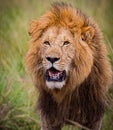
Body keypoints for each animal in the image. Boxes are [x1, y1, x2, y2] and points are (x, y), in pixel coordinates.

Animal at [25, 2, 112, 130]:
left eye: (66, 43)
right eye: (46, 43)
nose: (52, 58)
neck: (65, 92)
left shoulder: (94, 117)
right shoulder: (48, 118)